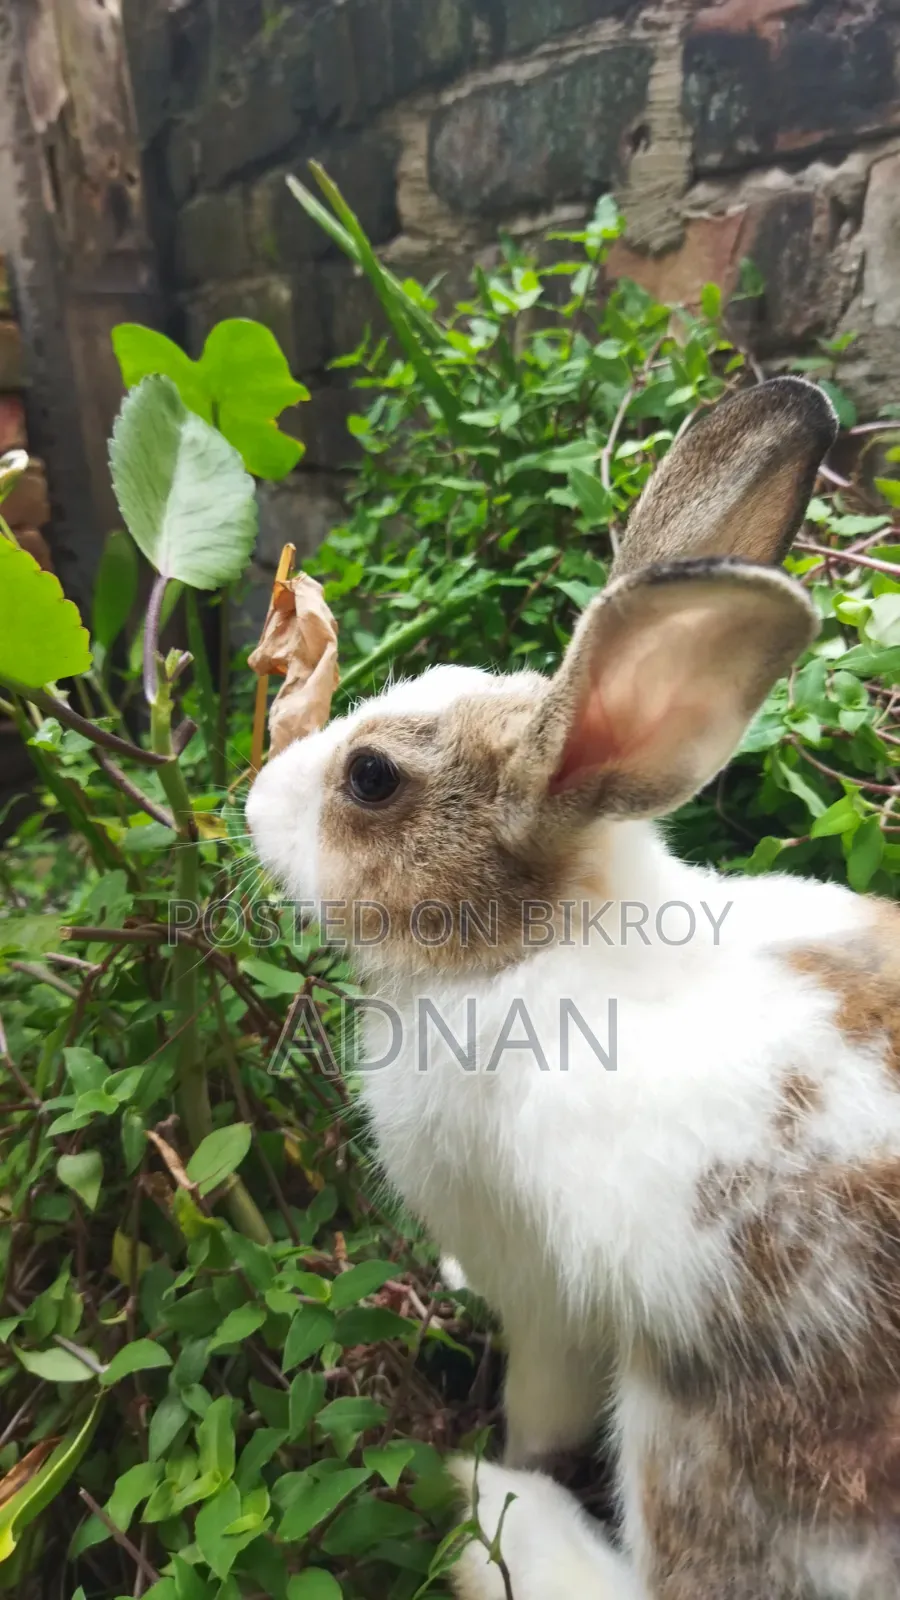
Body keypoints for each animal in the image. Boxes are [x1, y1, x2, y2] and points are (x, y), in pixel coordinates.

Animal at [248, 376, 900, 1599]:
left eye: (371, 779)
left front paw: (500, 1458)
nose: (257, 797)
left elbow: (539, 1393)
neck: (527, 944)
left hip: (707, 1435)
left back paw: (489, 1512)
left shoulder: (541, 1290)